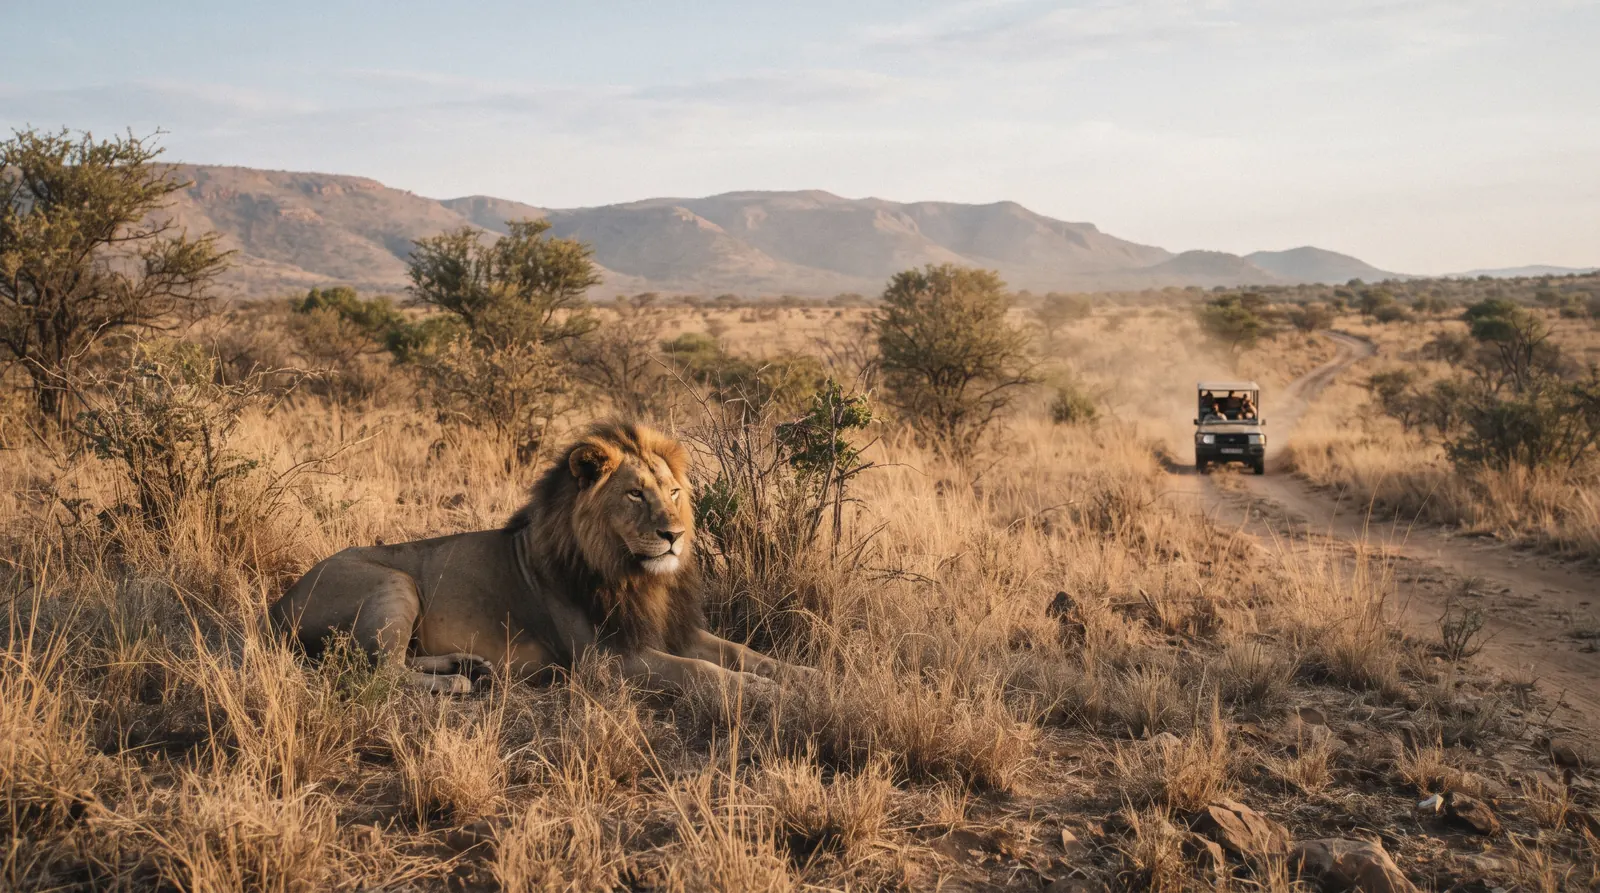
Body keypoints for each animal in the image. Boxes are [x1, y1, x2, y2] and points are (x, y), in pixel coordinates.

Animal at [269, 421, 812, 694]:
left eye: (675, 492)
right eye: (635, 494)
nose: (674, 535)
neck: (635, 576)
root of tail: (275, 604)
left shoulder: (673, 630)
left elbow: (746, 654)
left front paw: (809, 678)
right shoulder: (606, 661)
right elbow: (706, 672)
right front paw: (770, 694)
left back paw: (469, 665)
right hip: (393, 583)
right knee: (379, 673)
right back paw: (459, 685)